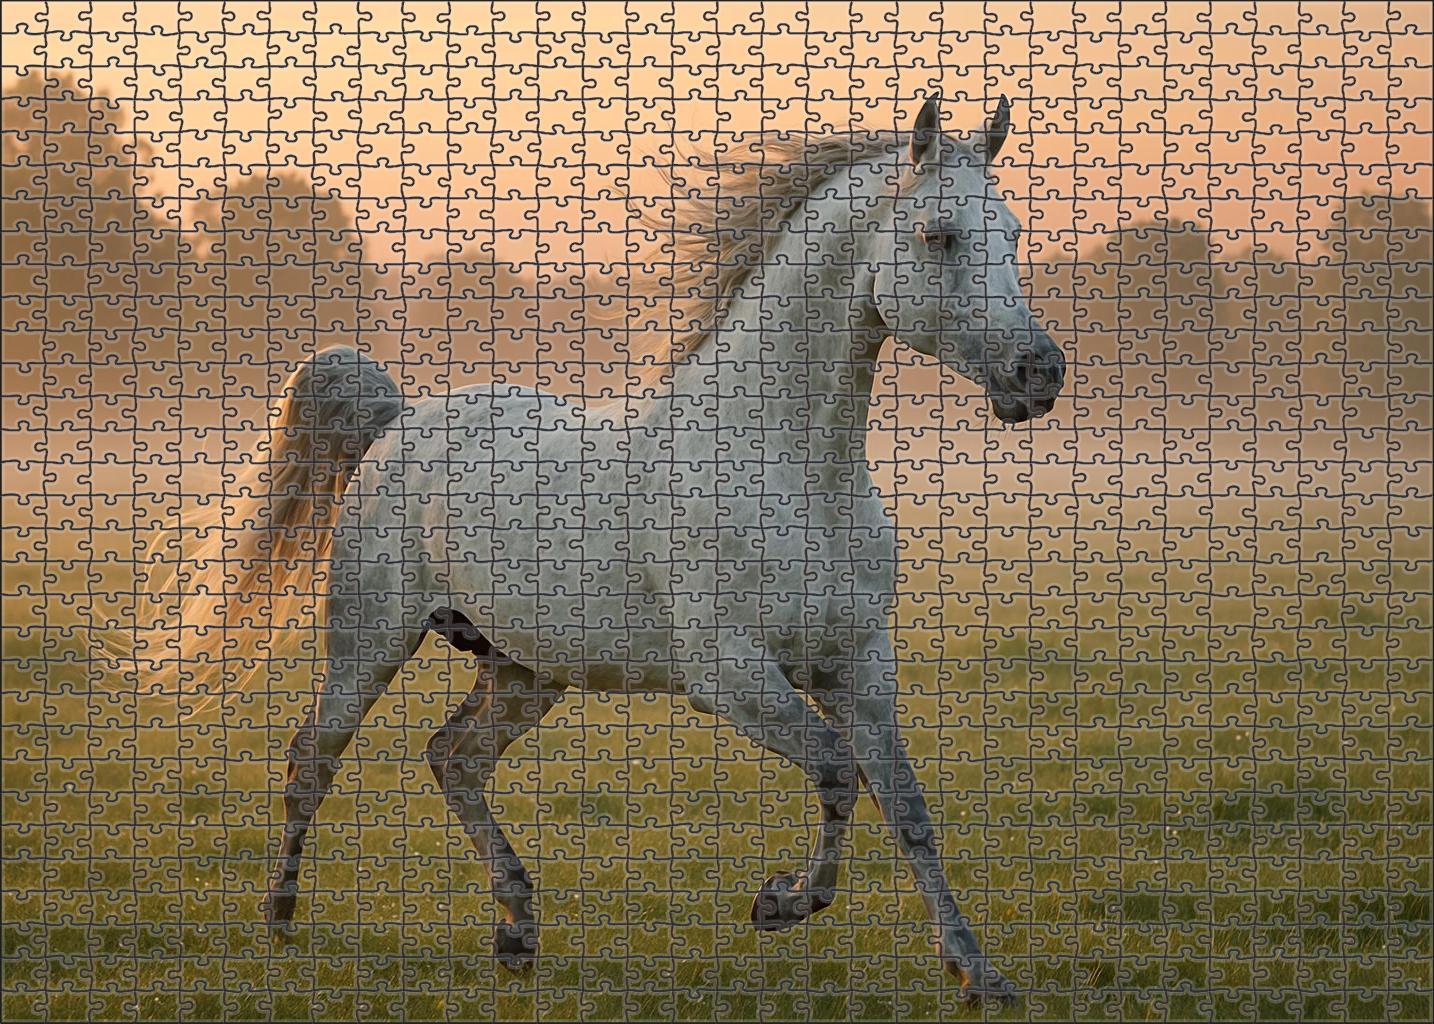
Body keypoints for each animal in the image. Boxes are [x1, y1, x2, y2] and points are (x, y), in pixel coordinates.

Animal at [124, 94, 1064, 1006]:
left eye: (1013, 233)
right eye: (937, 234)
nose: (1040, 373)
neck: (788, 469)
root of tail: (398, 420)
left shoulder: (860, 666)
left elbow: (906, 806)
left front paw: (980, 975)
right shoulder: (731, 675)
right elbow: (839, 774)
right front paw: (778, 903)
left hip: (524, 667)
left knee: (454, 760)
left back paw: (515, 931)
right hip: (369, 644)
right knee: (312, 759)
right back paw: (282, 920)